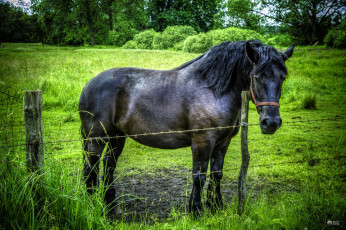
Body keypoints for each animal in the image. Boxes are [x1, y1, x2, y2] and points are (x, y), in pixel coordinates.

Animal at [79, 40, 294, 215]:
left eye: (282, 77)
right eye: (256, 77)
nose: (271, 122)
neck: (212, 90)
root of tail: (88, 86)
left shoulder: (222, 143)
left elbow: (216, 174)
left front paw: (216, 207)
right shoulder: (202, 142)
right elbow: (199, 176)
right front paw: (196, 210)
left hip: (117, 138)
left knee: (108, 167)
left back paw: (110, 208)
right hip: (96, 140)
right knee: (91, 170)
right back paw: (91, 207)